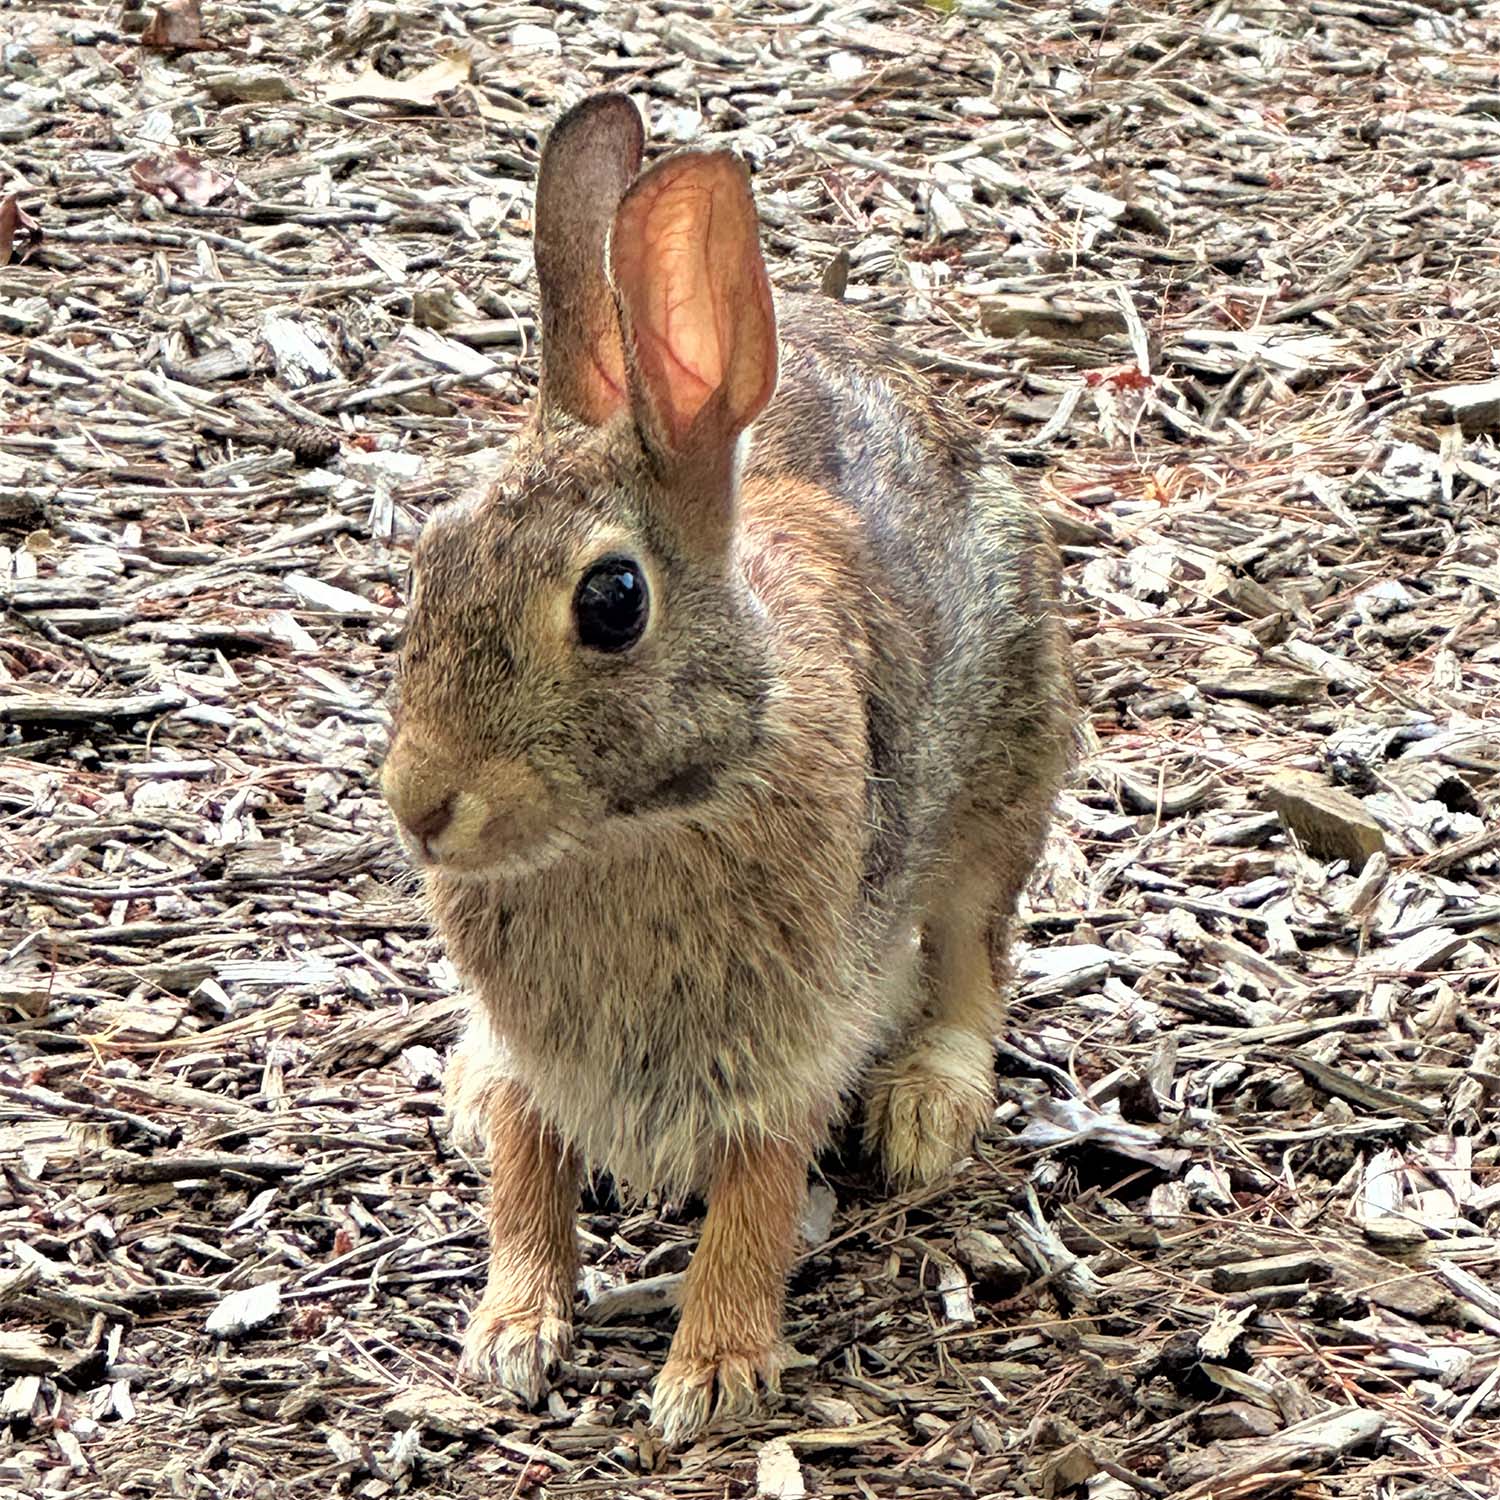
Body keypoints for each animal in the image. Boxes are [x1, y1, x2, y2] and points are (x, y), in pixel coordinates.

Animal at [381, 90, 1074, 1440]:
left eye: (613, 602)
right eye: (428, 558)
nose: (420, 806)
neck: (636, 823)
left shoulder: (792, 1023)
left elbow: (756, 1193)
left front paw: (712, 1374)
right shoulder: (548, 1049)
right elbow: (529, 1167)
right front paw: (511, 1334)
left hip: (998, 790)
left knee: (972, 961)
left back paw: (926, 1105)